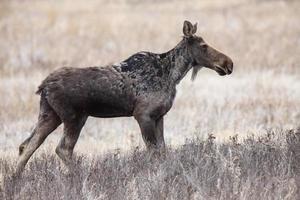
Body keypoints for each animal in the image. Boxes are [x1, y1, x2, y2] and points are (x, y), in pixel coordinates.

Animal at [16, 20, 233, 173]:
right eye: (203, 45)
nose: (228, 63)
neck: (173, 75)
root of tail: (43, 86)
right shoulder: (143, 114)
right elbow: (153, 151)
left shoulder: (159, 116)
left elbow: (162, 151)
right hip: (74, 116)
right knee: (62, 149)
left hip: (49, 114)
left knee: (27, 145)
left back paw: (15, 180)